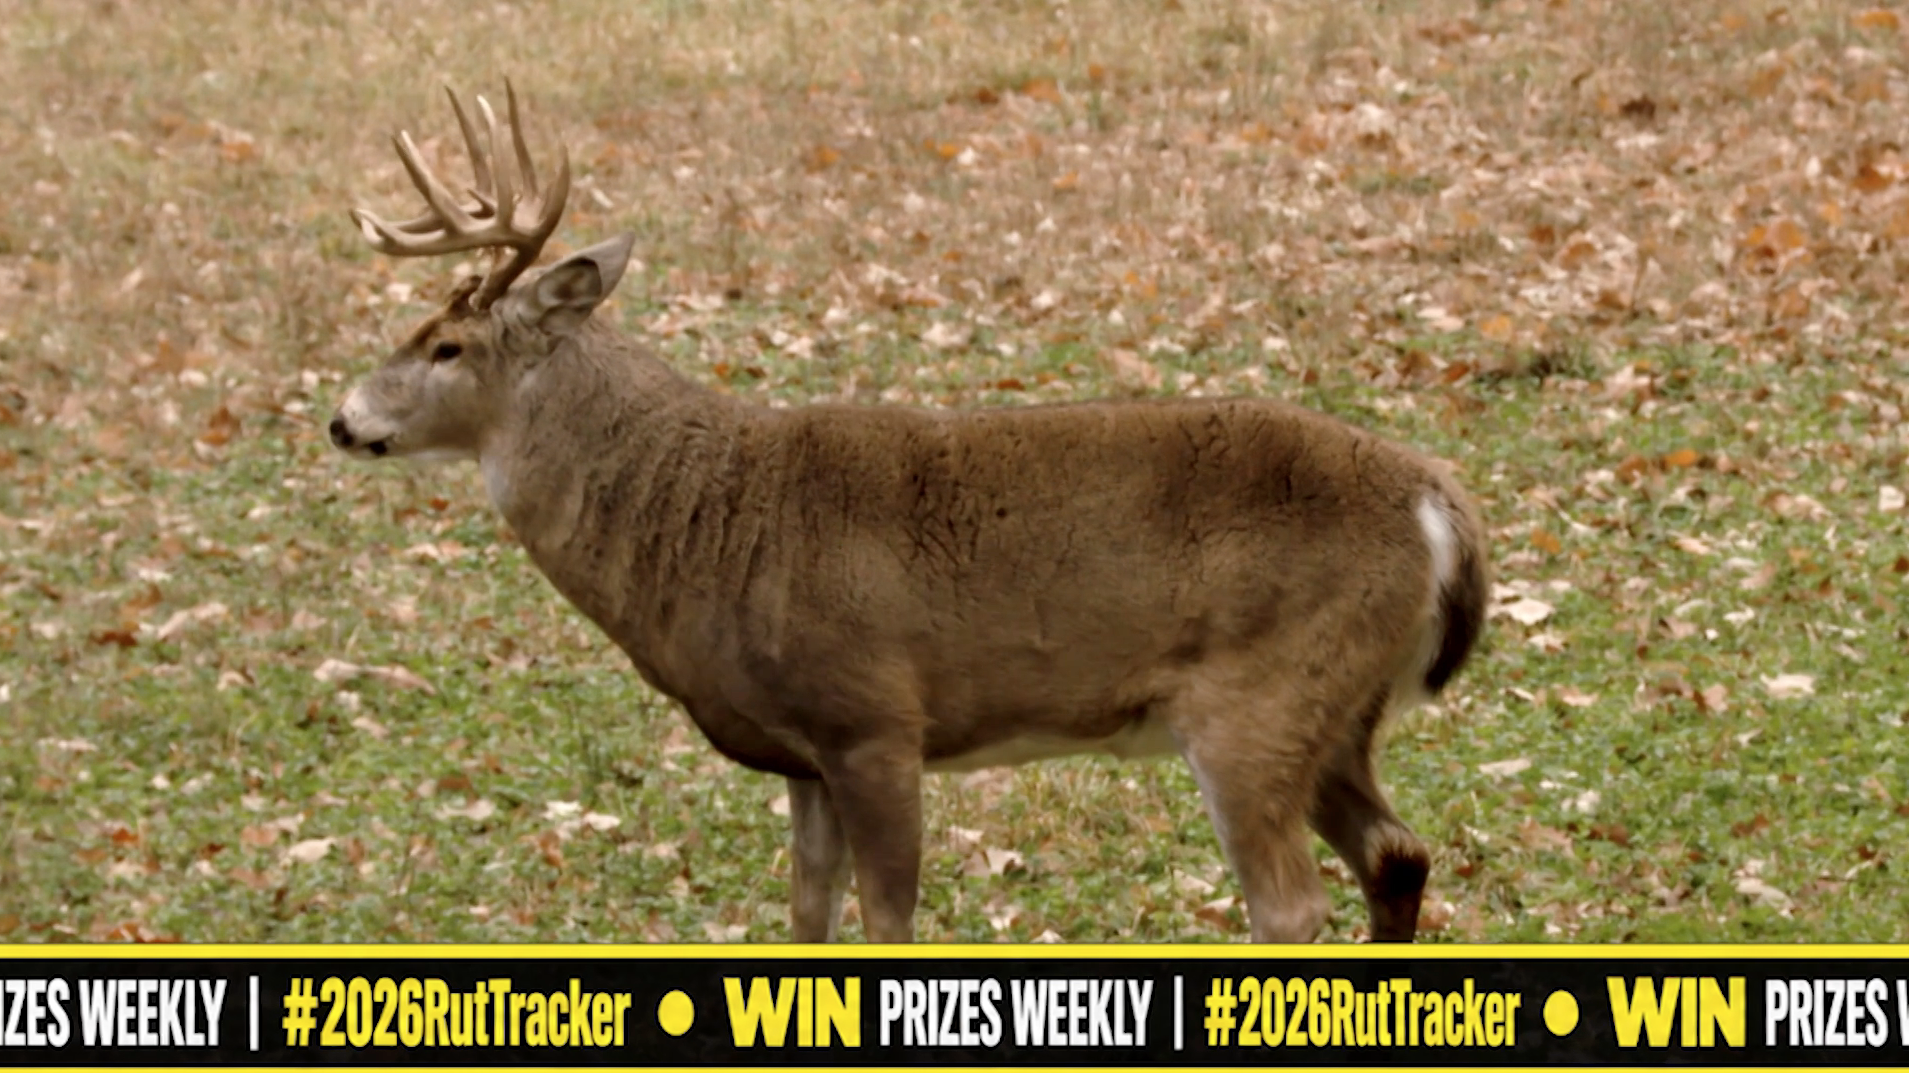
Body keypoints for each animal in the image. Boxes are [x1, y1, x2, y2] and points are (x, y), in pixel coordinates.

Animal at [328, 83, 1490, 945]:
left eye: (445, 345)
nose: (342, 418)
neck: (708, 523)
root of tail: (1439, 504)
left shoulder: (874, 715)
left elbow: (886, 925)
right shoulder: (803, 754)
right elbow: (805, 918)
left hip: (1258, 695)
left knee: (1290, 905)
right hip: (1335, 710)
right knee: (1399, 854)